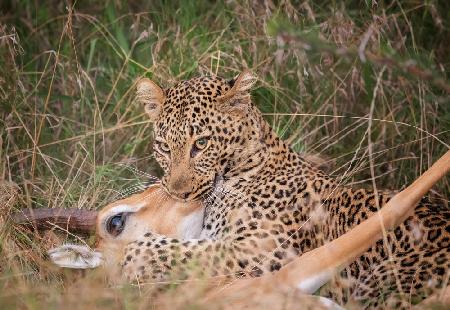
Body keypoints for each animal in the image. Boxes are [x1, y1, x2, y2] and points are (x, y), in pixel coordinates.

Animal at [125, 71, 448, 308]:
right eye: (164, 147)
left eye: (201, 144)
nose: (177, 193)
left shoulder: (259, 251)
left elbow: (186, 250)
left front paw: (133, 253)